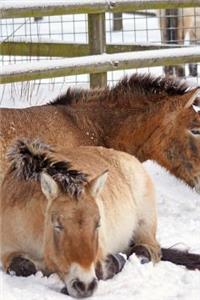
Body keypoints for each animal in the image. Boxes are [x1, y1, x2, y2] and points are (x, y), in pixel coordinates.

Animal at [0, 138, 199, 298]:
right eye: (57, 225)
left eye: (98, 224)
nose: (84, 286)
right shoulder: (7, 251)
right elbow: (22, 267)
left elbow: (101, 268)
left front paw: (116, 261)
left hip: (145, 223)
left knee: (148, 250)